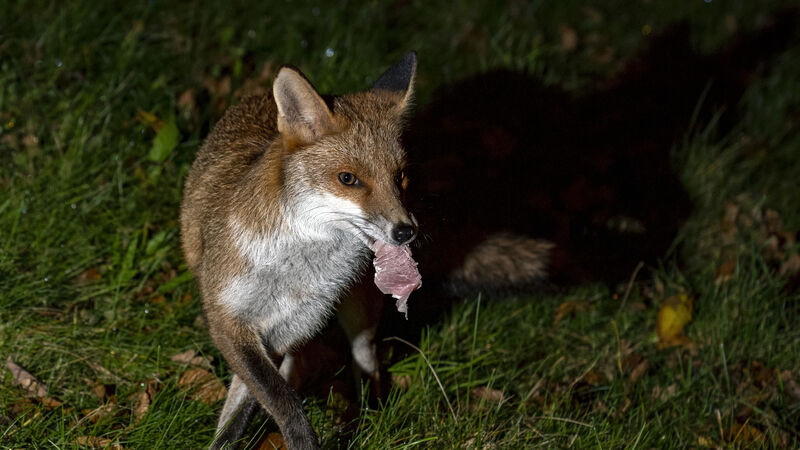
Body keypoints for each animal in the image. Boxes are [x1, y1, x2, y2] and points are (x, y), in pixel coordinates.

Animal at [180, 53, 420, 449]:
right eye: (348, 179)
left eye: (400, 176)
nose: (405, 232)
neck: (294, 267)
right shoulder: (230, 320)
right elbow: (273, 399)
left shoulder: (288, 327)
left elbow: (264, 400)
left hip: (359, 311)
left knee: (364, 358)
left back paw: (368, 414)